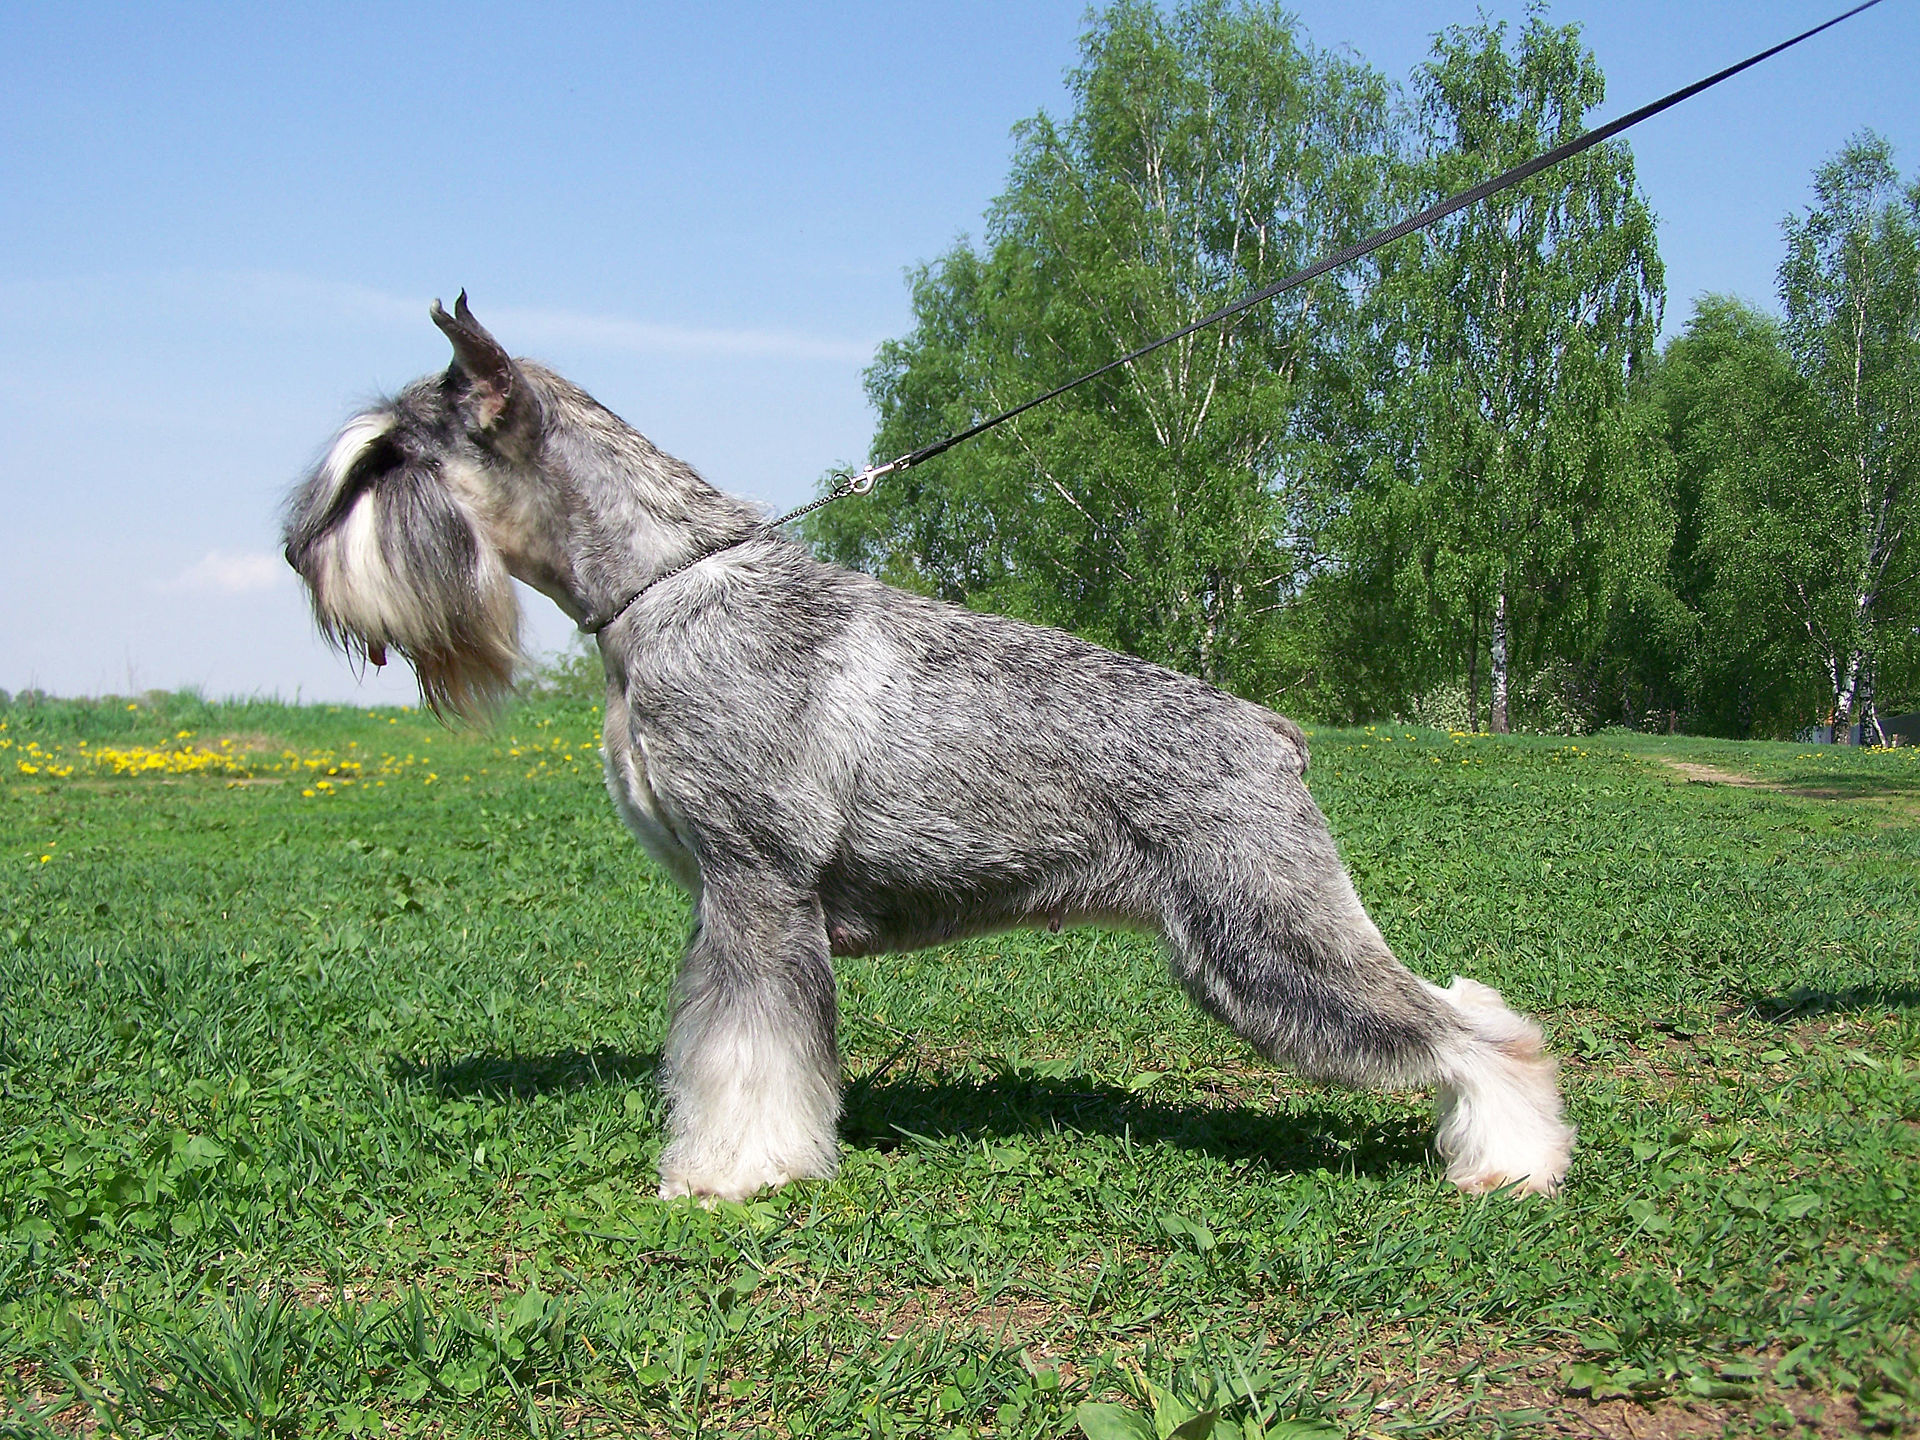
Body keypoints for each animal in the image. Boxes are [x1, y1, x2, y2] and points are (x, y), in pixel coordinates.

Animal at [284, 295, 1574, 1205]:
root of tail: (1272, 732)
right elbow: (718, 1043)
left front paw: (728, 1175)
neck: (662, 591)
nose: (297, 551)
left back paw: (1514, 1161)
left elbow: (748, 1053)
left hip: (1263, 939)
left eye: (391, 459)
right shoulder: (723, 900)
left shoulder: (757, 887)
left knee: (1465, 1030)